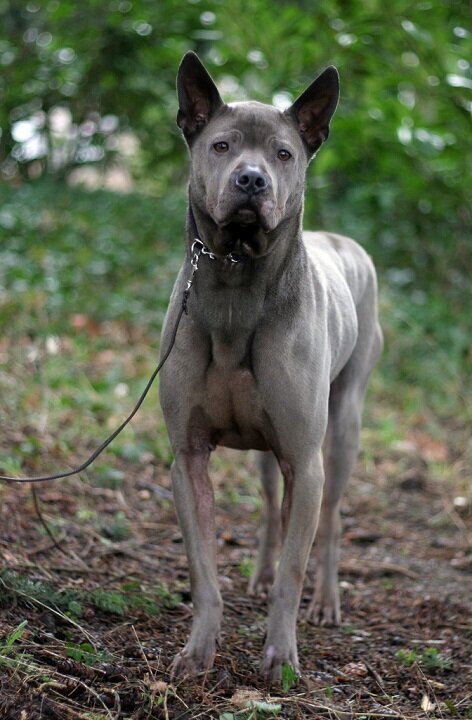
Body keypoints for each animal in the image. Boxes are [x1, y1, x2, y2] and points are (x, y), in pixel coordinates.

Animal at [159, 53, 384, 684]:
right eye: (221, 145)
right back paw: (258, 573)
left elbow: (294, 568)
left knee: (330, 519)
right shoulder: (188, 456)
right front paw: (198, 650)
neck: (237, 277)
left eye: (284, 154)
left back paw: (326, 601)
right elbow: (204, 568)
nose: (252, 180)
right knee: (268, 510)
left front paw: (281, 656)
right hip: (265, 449)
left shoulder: (305, 461)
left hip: (343, 427)